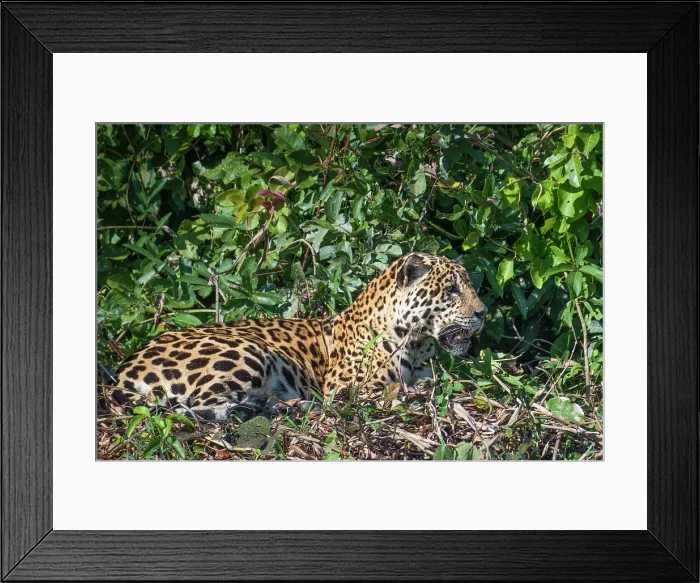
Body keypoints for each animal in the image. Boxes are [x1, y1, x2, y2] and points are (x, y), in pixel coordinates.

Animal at [111, 252, 488, 422]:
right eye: (452, 290)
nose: (483, 313)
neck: (416, 343)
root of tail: (120, 375)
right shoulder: (348, 386)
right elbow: (394, 390)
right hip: (247, 350)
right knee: (201, 405)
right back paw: (290, 405)